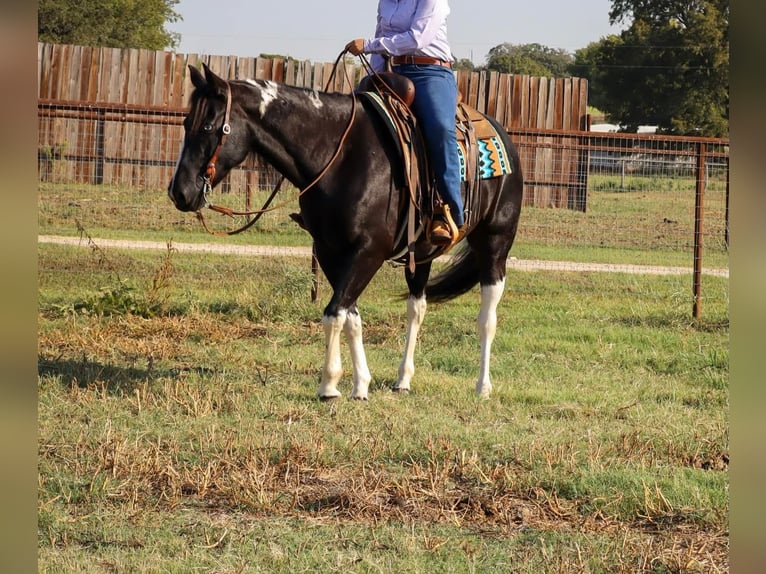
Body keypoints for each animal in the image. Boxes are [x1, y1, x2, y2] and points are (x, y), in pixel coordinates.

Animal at [168, 63, 523, 400]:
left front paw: (329, 385)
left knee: (487, 318)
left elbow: (334, 313)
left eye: (209, 126)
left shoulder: (369, 251)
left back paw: (483, 386)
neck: (340, 155)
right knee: (416, 308)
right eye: (186, 124)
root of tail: (501, 135)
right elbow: (350, 315)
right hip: (421, 253)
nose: (179, 192)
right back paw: (403, 380)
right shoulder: (329, 251)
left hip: (495, 243)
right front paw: (360, 384)